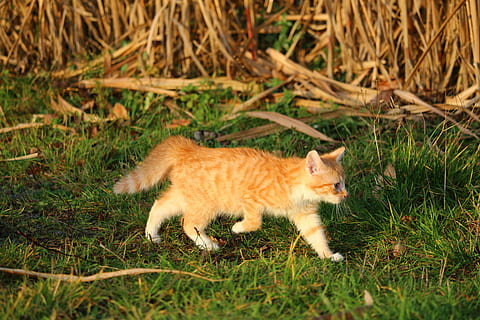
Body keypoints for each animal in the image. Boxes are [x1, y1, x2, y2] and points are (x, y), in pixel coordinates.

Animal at [116, 136, 348, 262]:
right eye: (336, 185)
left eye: (344, 183)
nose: (346, 195)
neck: (295, 186)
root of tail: (190, 149)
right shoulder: (250, 197)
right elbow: (255, 221)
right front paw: (238, 228)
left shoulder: (305, 214)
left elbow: (316, 235)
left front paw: (328, 256)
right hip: (205, 203)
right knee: (188, 223)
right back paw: (208, 245)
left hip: (184, 196)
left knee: (159, 205)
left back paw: (151, 234)